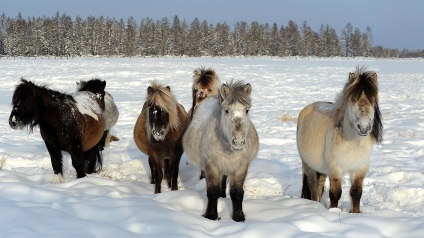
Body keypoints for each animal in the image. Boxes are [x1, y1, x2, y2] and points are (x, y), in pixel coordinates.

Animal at [182, 81, 258, 222]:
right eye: (226, 110)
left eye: (247, 110)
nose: (238, 141)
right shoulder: (212, 166)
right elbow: (212, 192)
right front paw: (211, 216)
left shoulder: (240, 167)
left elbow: (237, 193)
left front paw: (238, 217)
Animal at [296, 66, 382, 213]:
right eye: (352, 99)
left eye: (372, 100)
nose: (364, 127)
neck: (354, 143)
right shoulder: (335, 168)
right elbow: (335, 193)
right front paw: (334, 211)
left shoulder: (360, 169)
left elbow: (356, 192)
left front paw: (356, 213)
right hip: (308, 165)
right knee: (312, 186)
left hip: (321, 169)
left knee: (319, 185)